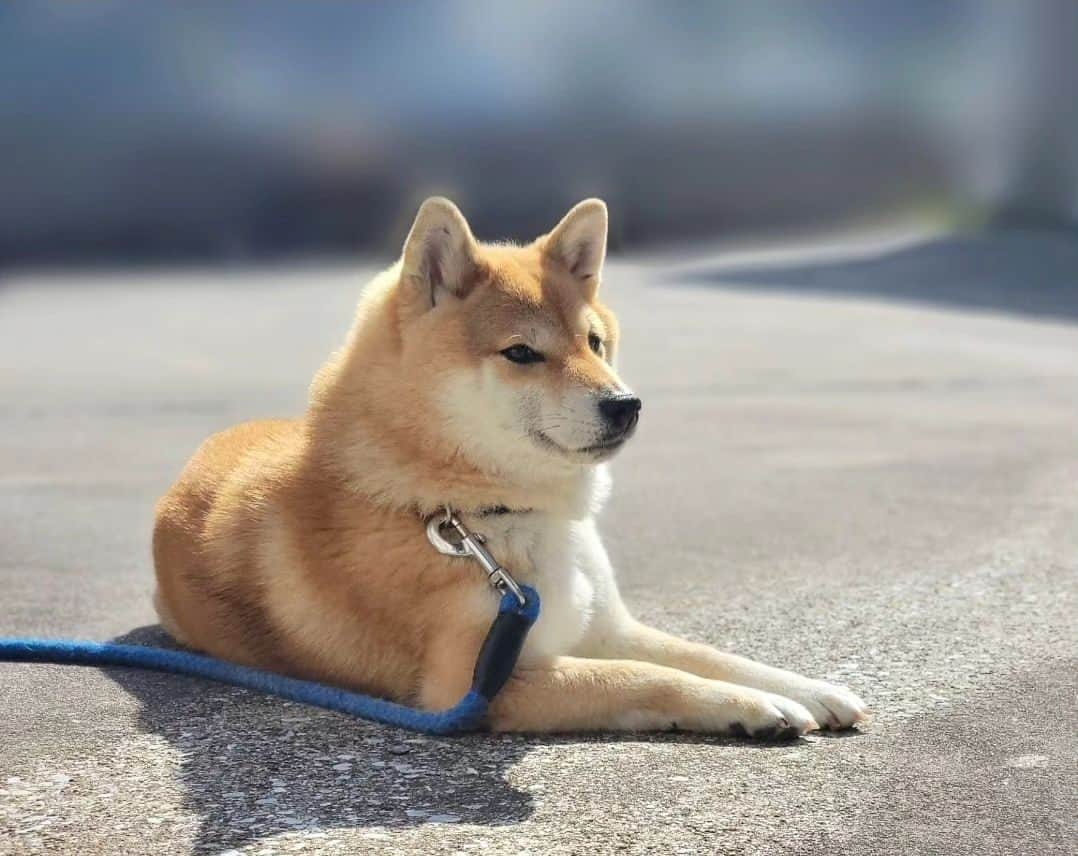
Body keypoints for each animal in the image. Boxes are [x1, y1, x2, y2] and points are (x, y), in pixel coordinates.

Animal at [154, 198, 866, 733]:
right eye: (522, 353)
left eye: (595, 343)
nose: (627, 404)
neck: (469, 517)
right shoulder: (469, 685)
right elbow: (648, 678)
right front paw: (753, 705)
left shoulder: (607, 626)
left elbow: (701, 653)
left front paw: (805, 687)